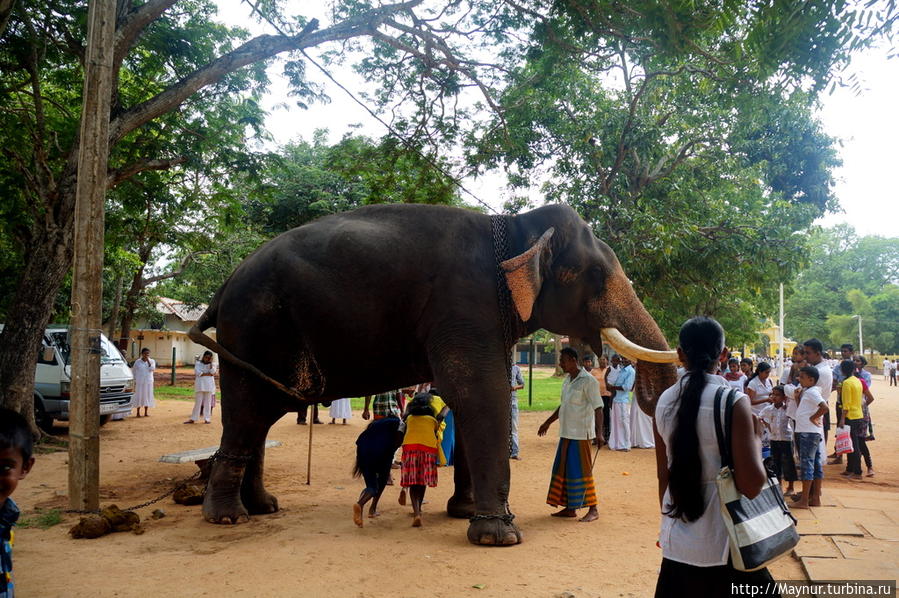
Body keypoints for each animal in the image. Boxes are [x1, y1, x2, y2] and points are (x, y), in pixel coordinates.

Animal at [193, 204, 680, 548]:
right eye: (595, 273)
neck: (513, 229)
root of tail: (225, 284)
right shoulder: (466, 303)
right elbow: (479, 394)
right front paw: (499, 537)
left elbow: (463, 397)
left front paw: (465, 512)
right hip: (254, 327)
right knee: (248, 412)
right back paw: (228, 516)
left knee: (256, 417)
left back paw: (262, 507)